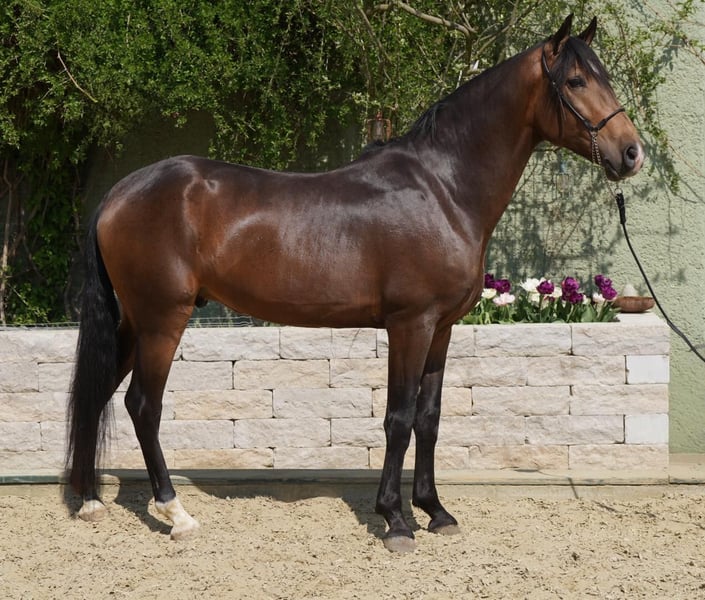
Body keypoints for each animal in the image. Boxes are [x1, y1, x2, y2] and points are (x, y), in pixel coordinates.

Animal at [66, 15, 644, 552]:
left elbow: (429, 418)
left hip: (136, 321)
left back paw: (91, 502)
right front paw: (395, 520)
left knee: (97, 392)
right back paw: (176, 513)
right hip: (163, 319)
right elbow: (399, 418)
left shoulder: (441, 329)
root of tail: (121, 190)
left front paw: (436, 511)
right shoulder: (410, 324)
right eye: (575, 80)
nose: (632, 153)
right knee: (143, 405)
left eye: (604, 76)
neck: (443, 189)